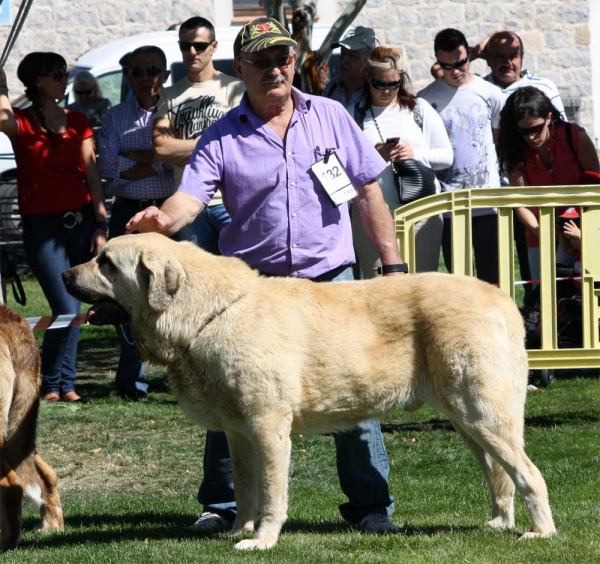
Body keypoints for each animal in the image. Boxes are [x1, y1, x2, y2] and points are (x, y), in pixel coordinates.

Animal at [63, 234, 556, 552]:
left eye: (106, 262)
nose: (66, 274)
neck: (209, 314)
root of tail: (500, 297)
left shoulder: (268, 427)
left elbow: (271, 493)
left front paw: (262, 540)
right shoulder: (238, 434)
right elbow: (245, 487)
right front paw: (238, 529)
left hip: (482, 414)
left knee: (529, 473)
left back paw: (541, 533)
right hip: (467, 420)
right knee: (499, 473)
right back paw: (500, 522)